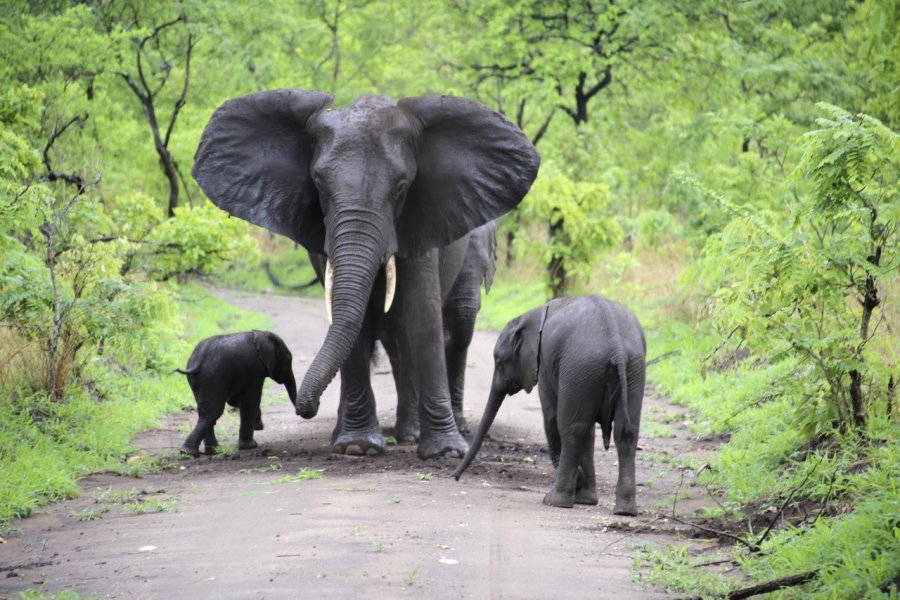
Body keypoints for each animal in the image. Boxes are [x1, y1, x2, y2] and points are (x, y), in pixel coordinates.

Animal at [178, 330, 298, 458]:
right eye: (289, 360)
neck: (261, 334)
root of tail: (197, 362)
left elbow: (238, 401)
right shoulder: (254, 370)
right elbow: (251, 401)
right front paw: (251, 446)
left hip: (197, 380)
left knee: (205, 412)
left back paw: (211, 451)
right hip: (213, 376)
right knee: (213, 412)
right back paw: (190, 452)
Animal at [192, 89, 536, 458]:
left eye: (402, 187)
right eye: (319, 185)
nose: (306, 408)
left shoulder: (419, 219)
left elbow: (422, 315)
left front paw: (445, 452)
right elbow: (351, 321)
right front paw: (358, 447)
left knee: (453, 325)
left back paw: (429, 432)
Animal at [454, 296, 644, 516]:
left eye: (499, 362)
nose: (455, 477)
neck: (530, 316)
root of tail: (616, 348)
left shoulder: (543, 362)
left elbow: (552, 416)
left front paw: (577, 488)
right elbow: (588, 430)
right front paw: (586, 498)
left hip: (581, 366)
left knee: (570, 428)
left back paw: (555, 500)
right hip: (632, 369)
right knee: (625, 432)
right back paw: (625, 510)